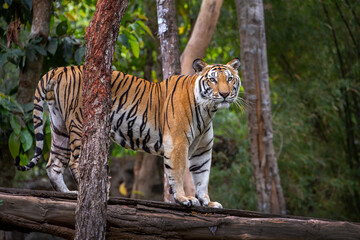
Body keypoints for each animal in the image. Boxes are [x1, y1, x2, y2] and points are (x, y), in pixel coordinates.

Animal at [16, 58, 242, 208]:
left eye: (230, 79)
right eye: (213, 80)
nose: (224, 94)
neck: (208, 111)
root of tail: (60, 69)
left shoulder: (202, 150)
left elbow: (202, 176)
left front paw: (207, 202)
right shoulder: (177, 143)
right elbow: (177, 172)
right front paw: (184, 199)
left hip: (59, 127)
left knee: (53, 163)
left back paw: (67, 194)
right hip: (79, 124)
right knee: (76, 161)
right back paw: (91, 192)